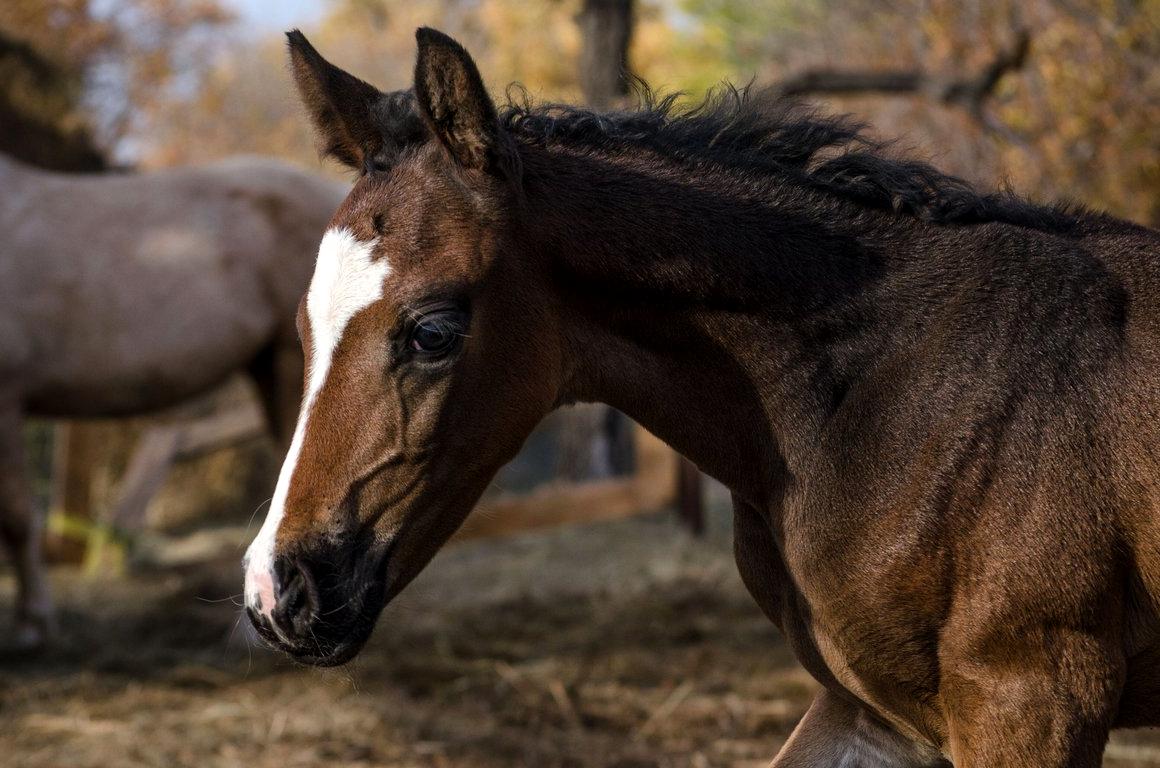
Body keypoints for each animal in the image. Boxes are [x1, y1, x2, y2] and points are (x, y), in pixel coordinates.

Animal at [242, 27, 1160, 765]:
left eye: (432, 331)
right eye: (305, 326)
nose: (277, 591)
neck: (879, 395)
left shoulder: (1034, 696)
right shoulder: (878, 709)